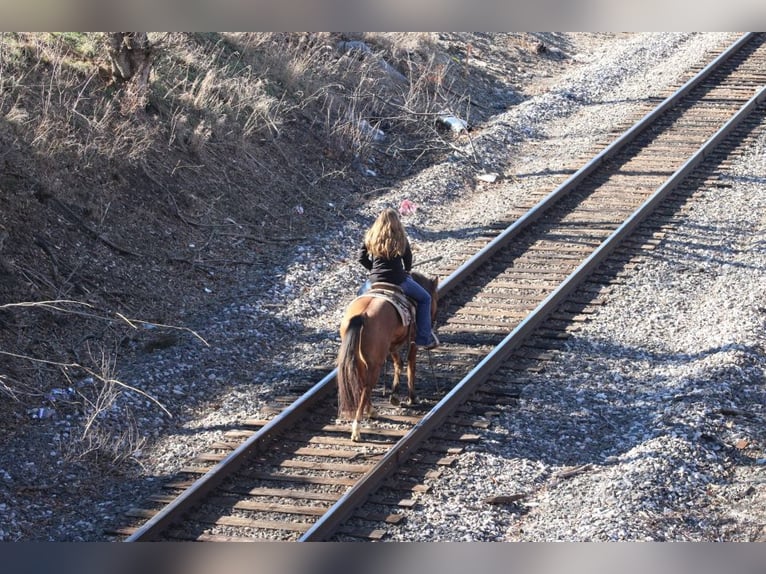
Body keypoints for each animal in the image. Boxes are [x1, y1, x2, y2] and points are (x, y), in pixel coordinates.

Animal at [336, 271, 439, 442]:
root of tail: (362, 315)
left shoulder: (392, 345)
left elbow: (399, 363)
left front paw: (395, 396)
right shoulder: (412, 340)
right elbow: (411, 365)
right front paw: (412, 397)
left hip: (360, 359)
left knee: (362, 385)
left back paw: (371, 411)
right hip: (374, 363)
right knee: (366, 387)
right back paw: (357, 428)